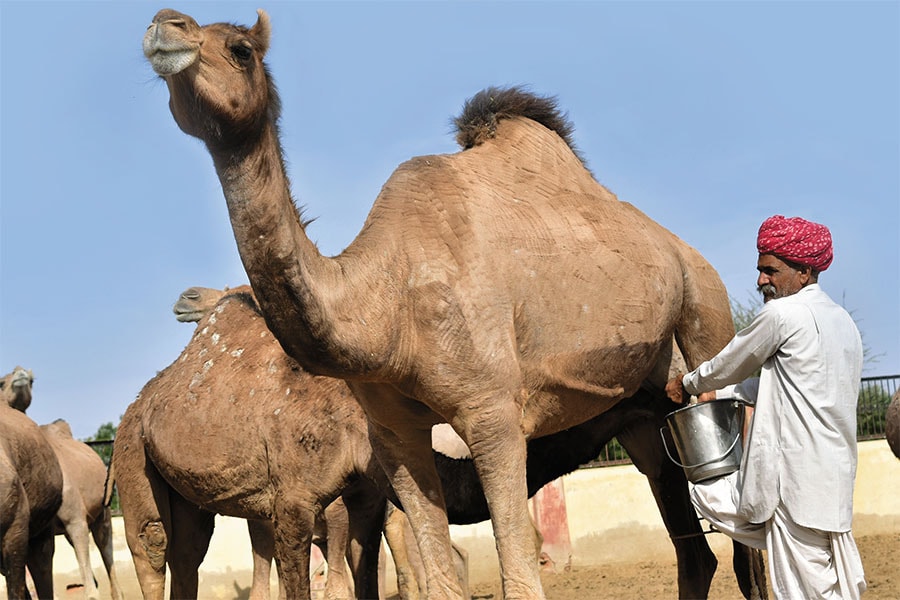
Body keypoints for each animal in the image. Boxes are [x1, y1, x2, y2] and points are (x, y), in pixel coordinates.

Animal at [144, 9, 745, 599]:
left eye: (241, 48)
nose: (164, 25)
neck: (386, 310)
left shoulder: (494, 415)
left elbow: (519, 579)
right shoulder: (394, 438)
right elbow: (437, 578)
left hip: (706, 312)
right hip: (647, 412)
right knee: (694, 550)